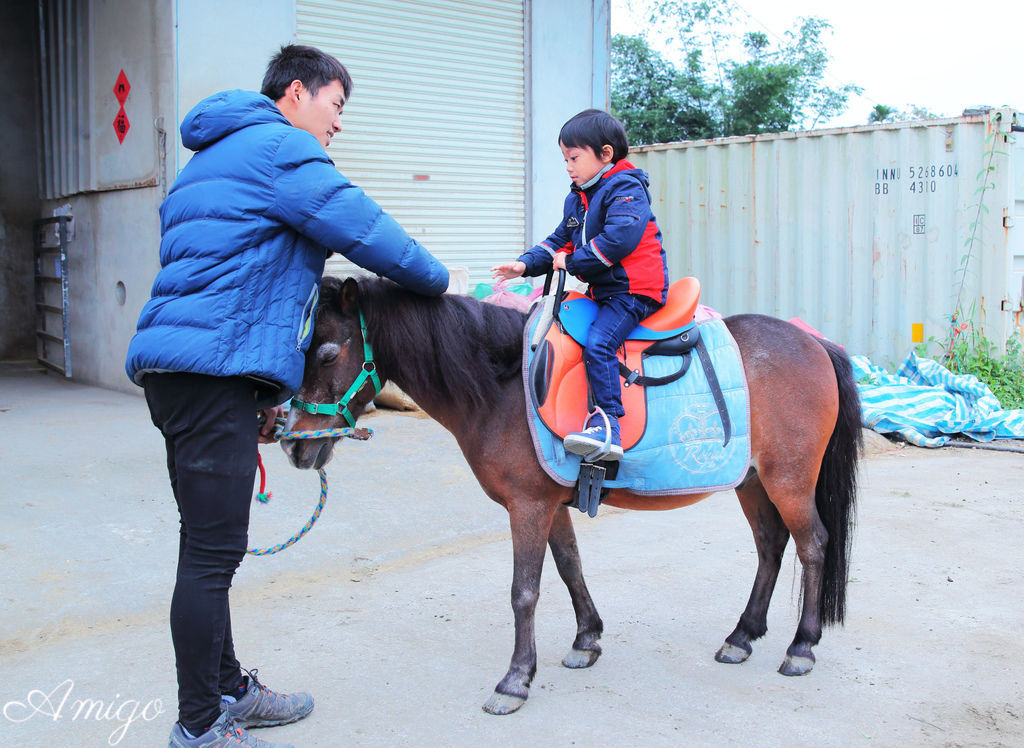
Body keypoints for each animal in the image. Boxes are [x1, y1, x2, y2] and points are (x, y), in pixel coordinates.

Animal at [282, 274, 864, 709]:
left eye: (327, 353)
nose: (292, 445)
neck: (502, 384)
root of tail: (816, 344)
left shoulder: (528, 506)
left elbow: (524, 591)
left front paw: (516, 679)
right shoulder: (548, 504)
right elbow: (569, 567)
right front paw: (587, 639)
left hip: (790, 479)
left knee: (813, 545)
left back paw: (801, 646)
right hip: (753, 481)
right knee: (771, 547)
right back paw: (742, 636)